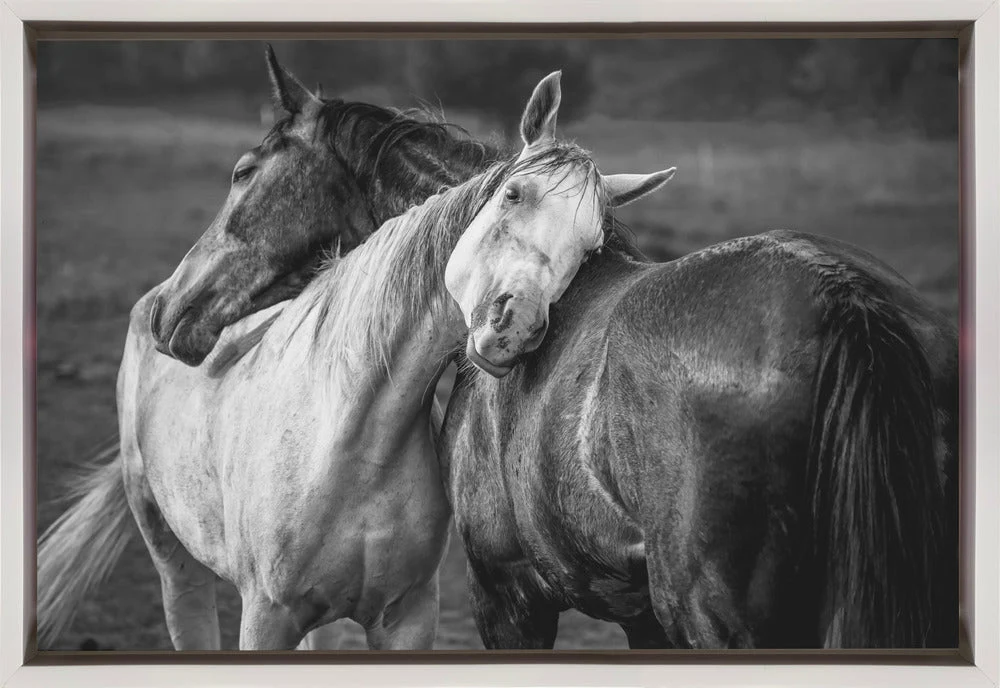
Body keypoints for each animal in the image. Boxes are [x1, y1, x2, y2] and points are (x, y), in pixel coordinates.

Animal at [37, 65, 671, 651]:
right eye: (512, 194)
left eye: (590, 247)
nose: (513, 325)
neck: (352, 435)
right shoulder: (266, 616)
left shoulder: (415, 615)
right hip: (174, 562)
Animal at [441, 72, 959, 649]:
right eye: (512, 194)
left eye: (589, 243)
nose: (516, 327)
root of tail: (840, 290)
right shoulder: (639, 615)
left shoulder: (506, 596)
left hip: (707, 611)